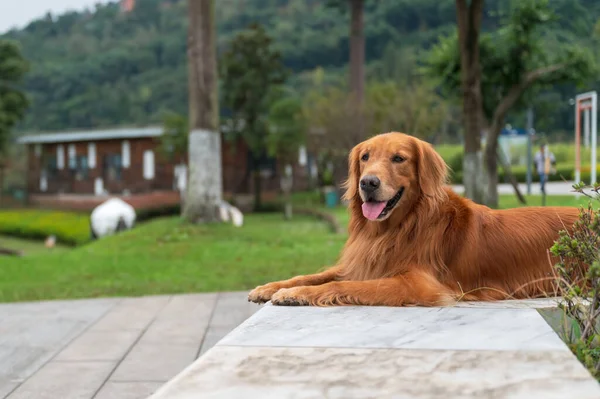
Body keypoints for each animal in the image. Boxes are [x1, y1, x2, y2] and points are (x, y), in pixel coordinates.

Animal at [246, 133, 580, 308]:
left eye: (399, 158)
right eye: (365, 157)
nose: (367, 183)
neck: (400, 227)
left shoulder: (419, 284)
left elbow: (341, 285)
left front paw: (295, 295)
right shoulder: (363, 262)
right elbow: (315, 275)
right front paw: (272, 287)